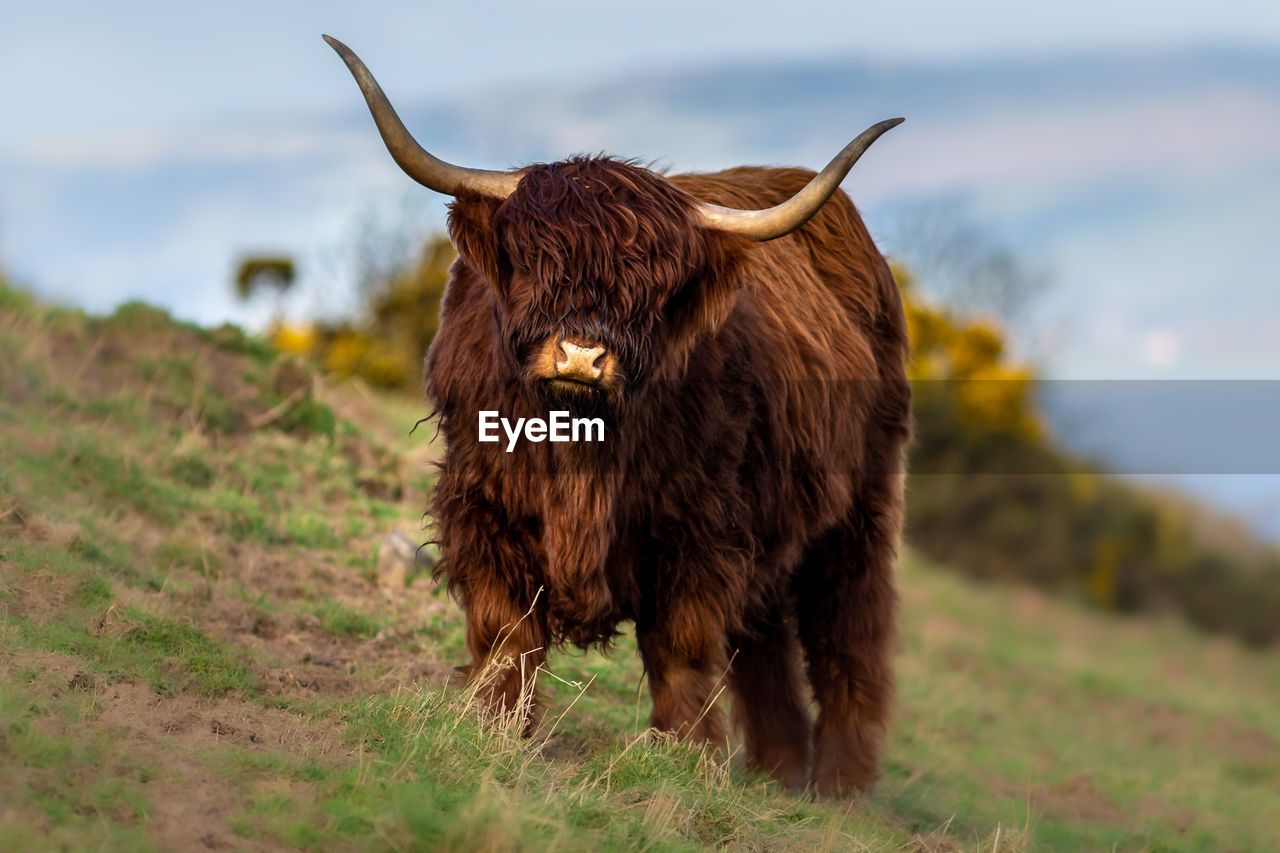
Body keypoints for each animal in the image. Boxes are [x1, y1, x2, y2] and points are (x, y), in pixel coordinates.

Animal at [327, 33, 911, 788]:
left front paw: (686, 755)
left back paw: (838, 784)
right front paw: (489, 724)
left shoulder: (701, 528)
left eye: (652, 287)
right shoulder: (481, 503)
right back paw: (779, 767)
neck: (583, 453)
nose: (580, 354)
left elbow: (683, 645)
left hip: (861, 509)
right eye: (534, 262)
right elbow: (504, 628)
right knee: (765, 642)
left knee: (848, 637)